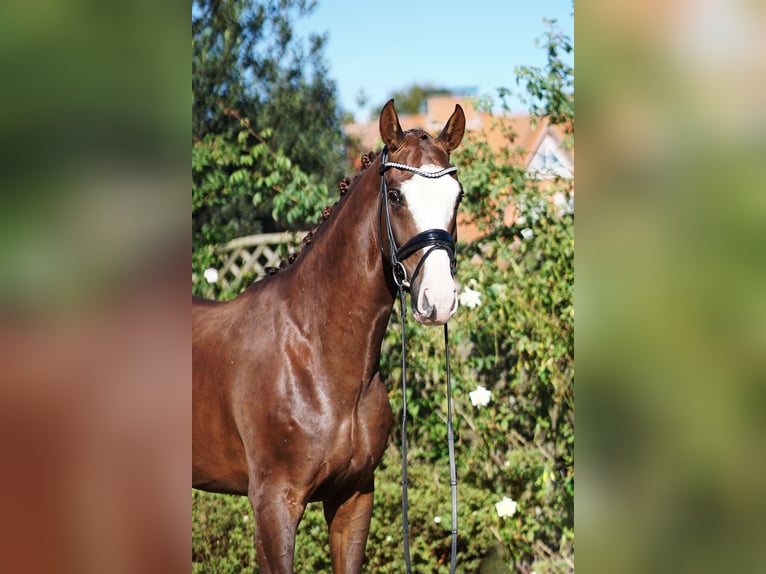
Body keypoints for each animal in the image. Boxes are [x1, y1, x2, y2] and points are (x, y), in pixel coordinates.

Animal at [195, 101, 464, 572]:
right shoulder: (274, 506)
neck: (317, 354)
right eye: (395, 195)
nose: (440, 299)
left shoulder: (353, 497)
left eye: (457, 196)